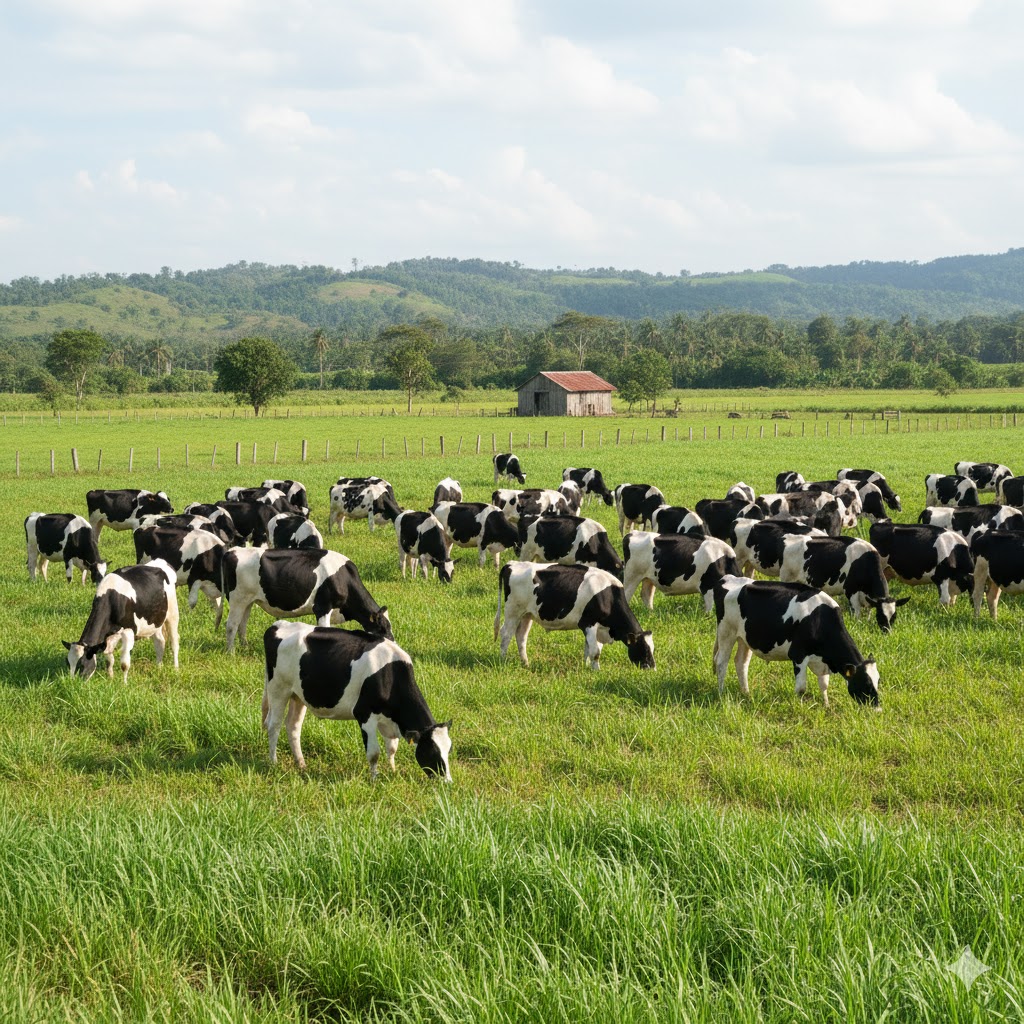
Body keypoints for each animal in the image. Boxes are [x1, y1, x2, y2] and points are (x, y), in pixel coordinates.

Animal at [222, 548, 392, 652]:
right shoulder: (323, 607)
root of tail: (232, 551)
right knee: (231, 625)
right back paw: (231, 652)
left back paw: (245, 647)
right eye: (383, 628)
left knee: (242, 624)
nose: (392, 642)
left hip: (248, 600)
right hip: (238, 599)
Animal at [262, 621, 452, 780]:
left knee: (293, 726)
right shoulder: (365, 715)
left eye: (449, 749)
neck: (390, 675)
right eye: (431, 752)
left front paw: (392, 771)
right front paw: (374, 780)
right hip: (279, 689)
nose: (447, 782)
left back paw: (301, 764)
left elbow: (392, 748)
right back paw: (273, 762)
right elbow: (374, 753)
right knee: (274, 725)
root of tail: (277, 625)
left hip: (298, 695)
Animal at [494, 561, 654, 669]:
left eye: (652, 649)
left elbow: (588, 649)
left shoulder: (597, 628)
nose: (652, 668)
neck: (608, 595)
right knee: (506, 634)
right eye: (644, 649)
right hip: (513, 611)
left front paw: (586, 667)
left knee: (521, 636)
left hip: (526, 615)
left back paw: (526, 663)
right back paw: (502, 660)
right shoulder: (589, 623)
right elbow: (595, 651)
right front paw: (597, 671)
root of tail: (512, 564)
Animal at [712, 576, 880, 708]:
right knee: (721, 662)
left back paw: (746, 693)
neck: (819, 619)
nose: (877, 709)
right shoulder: (798, 655)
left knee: (741, 662)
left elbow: (824, 684)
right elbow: (801, 688)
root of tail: (727, 578)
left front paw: (826, 705)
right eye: (866, 683)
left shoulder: (821, 660)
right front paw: (800, 706)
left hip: (744, 638)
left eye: (878, 680)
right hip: (726, 631)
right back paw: (720, 693)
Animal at [779, 536, 908, 632]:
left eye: (894, 616)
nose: (887, 632)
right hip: (787, 578)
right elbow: (857, 615)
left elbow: (868, 612)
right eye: (881, 615)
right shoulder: (851, 592)